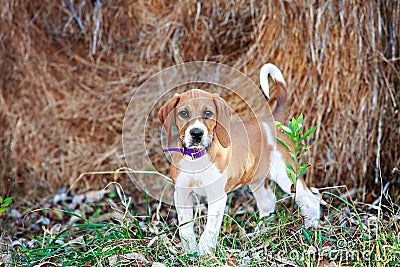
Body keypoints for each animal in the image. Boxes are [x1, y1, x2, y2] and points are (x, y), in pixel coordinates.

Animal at [158, 62, 320, 255]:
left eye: (208, 114)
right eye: (183, 114)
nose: (196, 133)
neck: (196, 157)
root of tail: (272, 121)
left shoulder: (217, 196)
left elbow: (210, 229)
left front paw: (205, 253)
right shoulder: (182, 193)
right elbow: (185, 227)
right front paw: (190, 251)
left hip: (286, 176)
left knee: (310, 198)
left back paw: (311, 227)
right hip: (256, 179)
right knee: (268, 202)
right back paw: (260, 234)